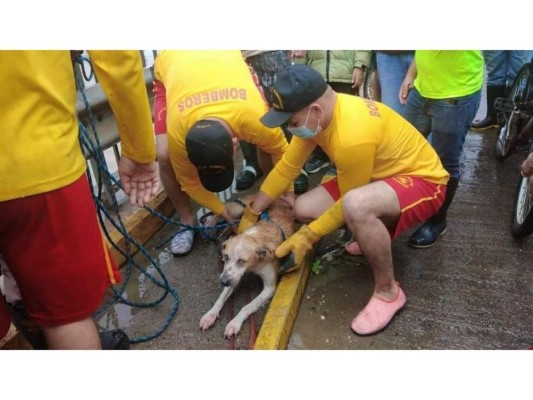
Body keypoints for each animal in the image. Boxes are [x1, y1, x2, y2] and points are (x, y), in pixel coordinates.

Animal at [198, 197, 294, 338]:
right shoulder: (231, 276)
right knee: (223, 214)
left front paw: (234, 323)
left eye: (242, 261)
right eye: (226, 257)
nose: (223, 282)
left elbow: (247, 306)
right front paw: (210, 315)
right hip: (238, 210)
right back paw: (212, 224)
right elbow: (220, 298)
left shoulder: (269, 288)